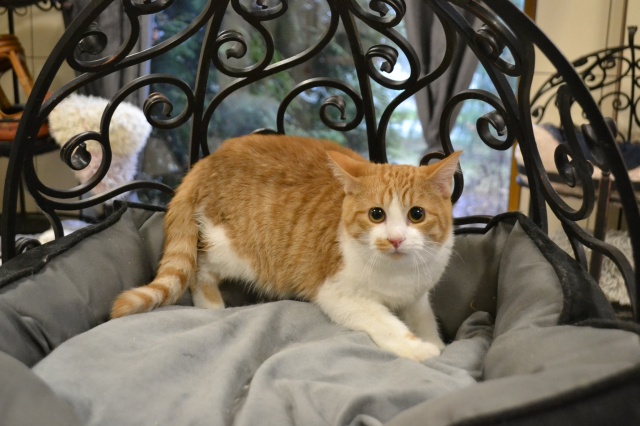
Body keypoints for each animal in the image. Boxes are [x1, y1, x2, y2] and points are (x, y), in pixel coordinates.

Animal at [111, 134, 461, 361]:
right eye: (377, 214)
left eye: (416, 215)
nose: (395, 239)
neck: (398, 275)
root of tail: (207, 161)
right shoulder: (338, 294)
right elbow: (386, 322)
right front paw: (418, 348)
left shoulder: (417, 293)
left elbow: (424, 317)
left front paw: (435, 341)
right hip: (237, 252)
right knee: (200, 267)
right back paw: (211, 306)